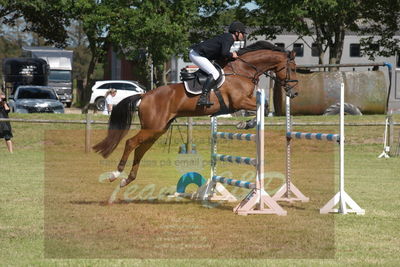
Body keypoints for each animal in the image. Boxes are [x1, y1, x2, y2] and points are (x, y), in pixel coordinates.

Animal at [94, 41, 298, 188]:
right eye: (294, 69)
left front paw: (246, 123)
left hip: (157, 130)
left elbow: (262, 106)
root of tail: (145, 95)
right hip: (153, 127)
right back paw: (115, 174)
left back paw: (127, 180)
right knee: (130, 143)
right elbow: (263, 106)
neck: (243, 71)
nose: (294, 93)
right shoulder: (238, 102)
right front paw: (245, 124)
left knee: (140, 149)